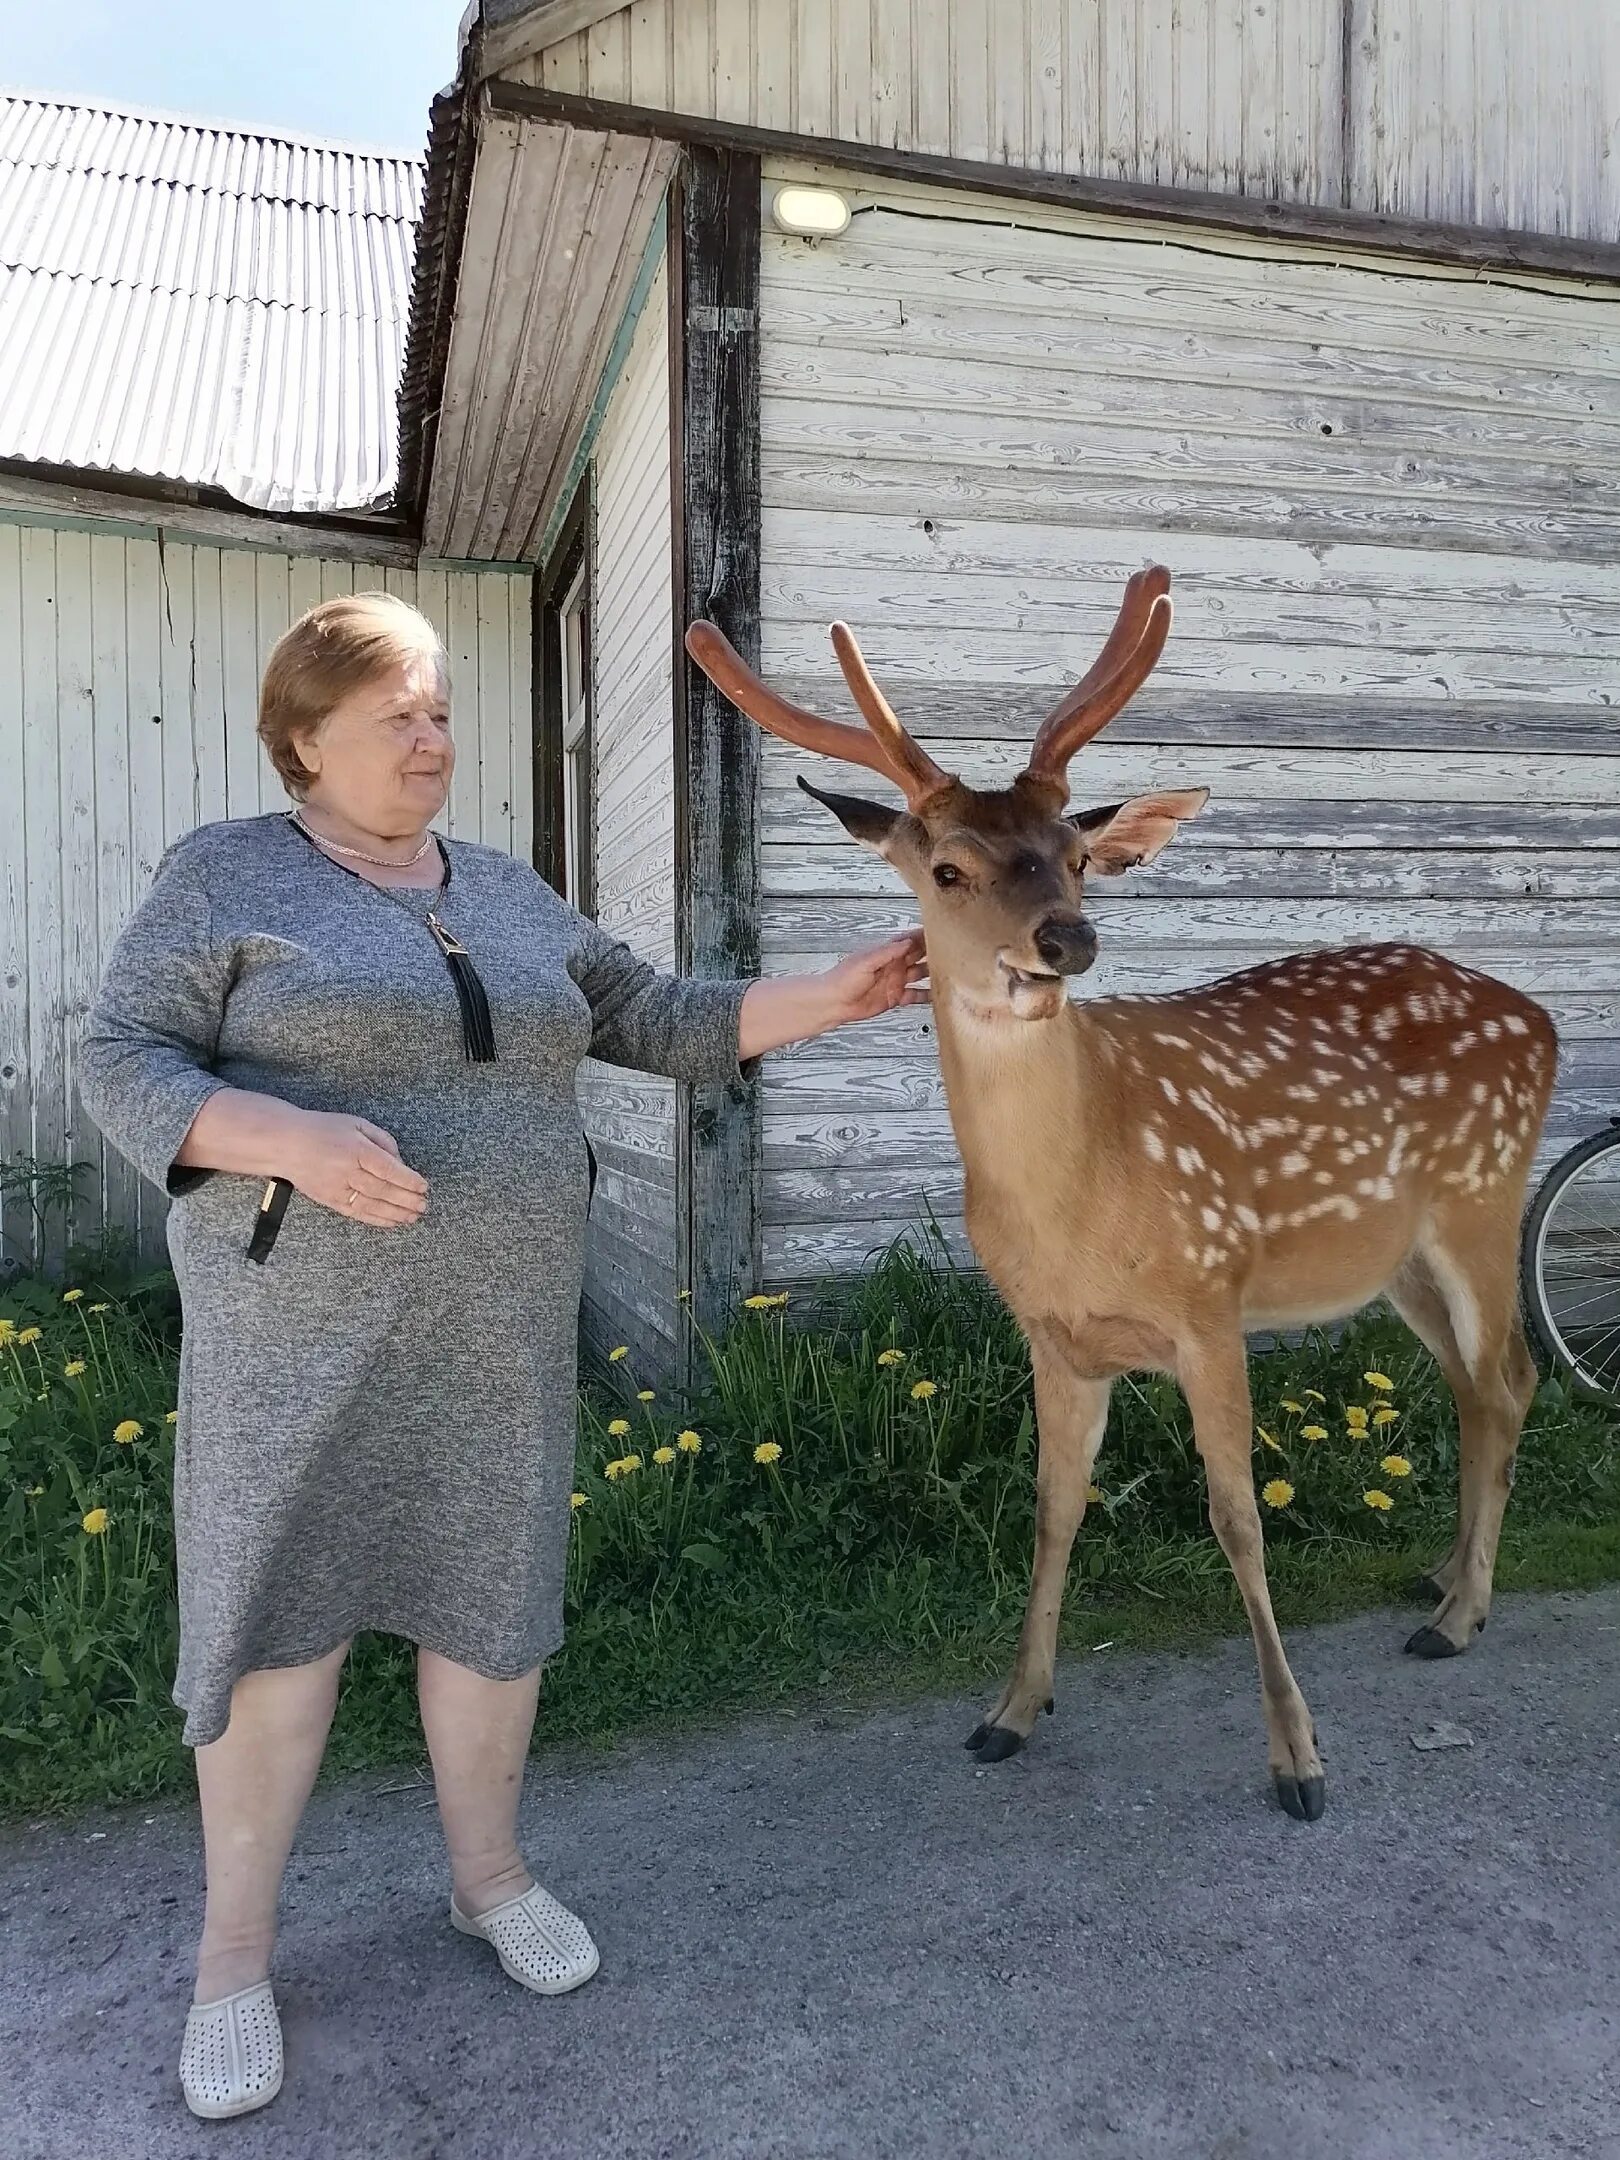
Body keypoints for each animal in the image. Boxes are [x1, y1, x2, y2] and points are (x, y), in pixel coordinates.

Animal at [686, 565, 1563, 1814]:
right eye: (946, 870)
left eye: (1076, 855)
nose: (1066, 938)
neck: (1082, 1194)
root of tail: (1539, 1017)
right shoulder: (1052, 1334)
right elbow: (1053, 1511)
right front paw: (1009, 1711)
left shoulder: (1210, 1298)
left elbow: (1237, 1517)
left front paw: (1298, 1760)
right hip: (1395, 1259)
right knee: (1478, 1389)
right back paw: (1442, 1582)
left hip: (1483, 1199)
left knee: (1510, 1378)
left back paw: (1461, 1614)